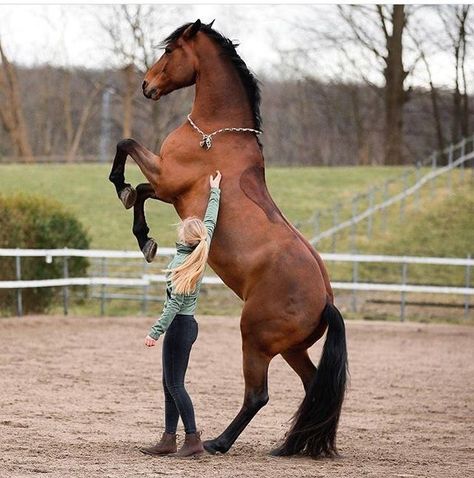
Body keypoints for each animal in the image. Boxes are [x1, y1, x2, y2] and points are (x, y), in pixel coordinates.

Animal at [108, 19, 348, 460]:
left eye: (169, 51)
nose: (147, 85)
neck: (214, 135)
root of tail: (325, 300)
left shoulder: (167, 180)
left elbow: (126, 146)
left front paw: (124, 193)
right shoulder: (168, 189)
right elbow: (142, 192)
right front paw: (145, 236)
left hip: (254, 340)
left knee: (258, 395)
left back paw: (219, 442)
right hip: (292, 349)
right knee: (313, 387)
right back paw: (293, 446)